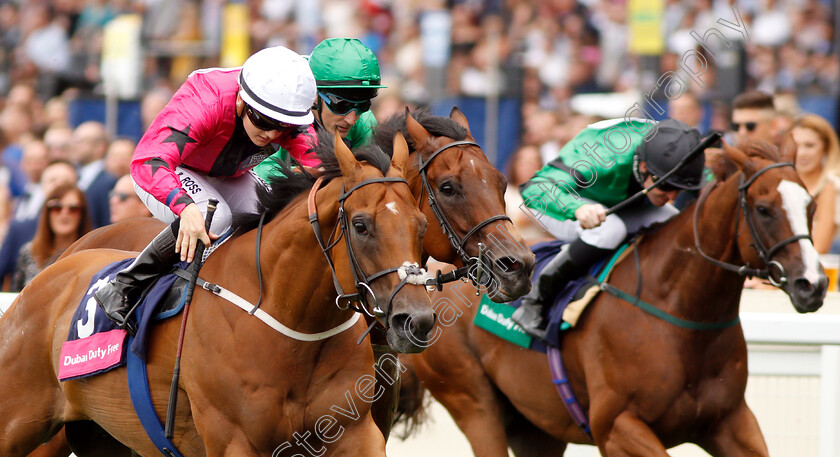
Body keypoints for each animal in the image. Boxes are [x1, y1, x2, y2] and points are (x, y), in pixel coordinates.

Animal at [3, 131, 440, 452]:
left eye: (421, 225)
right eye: (361, 225)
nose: (416, 320)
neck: (293, 330)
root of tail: (50, 269)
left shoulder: (354, 433)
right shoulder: (233, 440)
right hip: (20, 423)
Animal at [402, 141, 828, 454]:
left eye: (812, 204)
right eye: (764, 209)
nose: (814, 284)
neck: (683, 315)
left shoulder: (732, 422)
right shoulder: (618, 426)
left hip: (536, 425)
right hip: (474, 403)